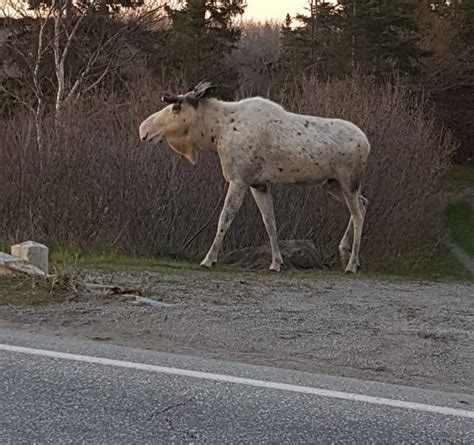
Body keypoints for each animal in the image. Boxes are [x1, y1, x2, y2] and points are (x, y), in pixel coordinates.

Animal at [141, 81, 370, 272]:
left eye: (176, 107)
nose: (144, 129)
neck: (216, 133)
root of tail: (367, 144)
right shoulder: (258, 184)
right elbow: (270, 222)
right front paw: (276, 263)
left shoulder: (239, 179)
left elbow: (225, 218)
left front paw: (208, 259)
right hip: (332, 184)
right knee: (364, 203)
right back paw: (346, 253)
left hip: (349, 181)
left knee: (358, 212)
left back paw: (352, 264)